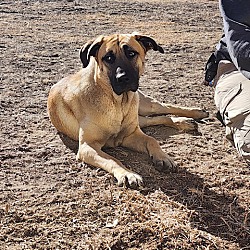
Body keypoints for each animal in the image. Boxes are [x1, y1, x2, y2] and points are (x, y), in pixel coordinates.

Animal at [47, 33, 209, 187]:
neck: (118, 103)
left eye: (131, 53)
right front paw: (128, 174)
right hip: (139, 117)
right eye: (108, 58)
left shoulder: (131, 135)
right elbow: (113, 160)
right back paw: (185, 122)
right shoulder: (88, 146)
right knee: (156, 118)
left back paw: (195, 113)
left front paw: (163, 157)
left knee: (164, 108)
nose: (122, 78)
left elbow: (151, 140)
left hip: (144, 105)